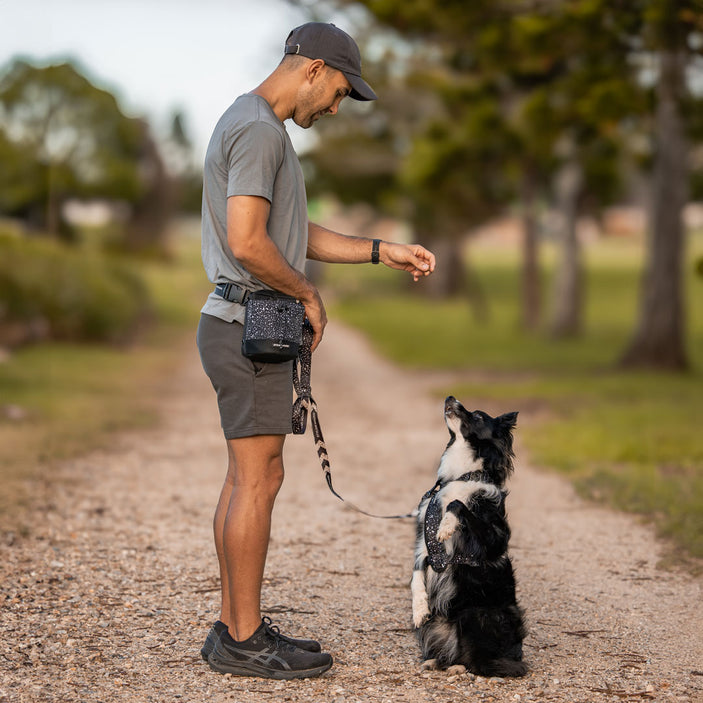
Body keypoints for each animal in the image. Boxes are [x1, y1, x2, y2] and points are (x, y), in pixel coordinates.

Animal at [410, 396, 524, 676]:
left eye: (479, 416)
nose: (451, 398)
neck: (461, 475)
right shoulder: (423, 546)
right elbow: (416, 576)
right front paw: (418, 608)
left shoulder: (495, 539)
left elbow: (457, 503)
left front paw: (446, 526)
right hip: (436, 624)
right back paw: (437, 661)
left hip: (473, 614)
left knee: (487, 662)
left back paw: (461, 668)